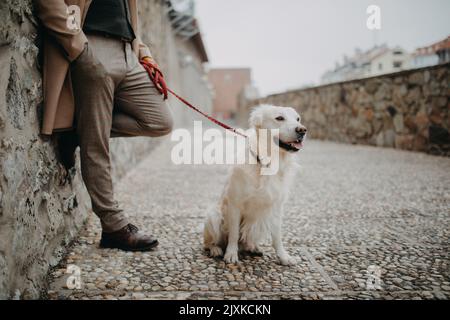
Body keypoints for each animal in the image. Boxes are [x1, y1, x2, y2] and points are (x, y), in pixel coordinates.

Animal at [203, 104, 306, 264]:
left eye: (298, 119)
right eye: (279, 118)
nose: (302, 130)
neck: (269, 162)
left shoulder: (277, 206)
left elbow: (277, 236)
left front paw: (284, 257)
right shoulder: (235, 204)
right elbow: (233, 234)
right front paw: (231, 254)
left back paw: (252, 247)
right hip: (213, 215)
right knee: (209, 242)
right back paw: (216, 249)